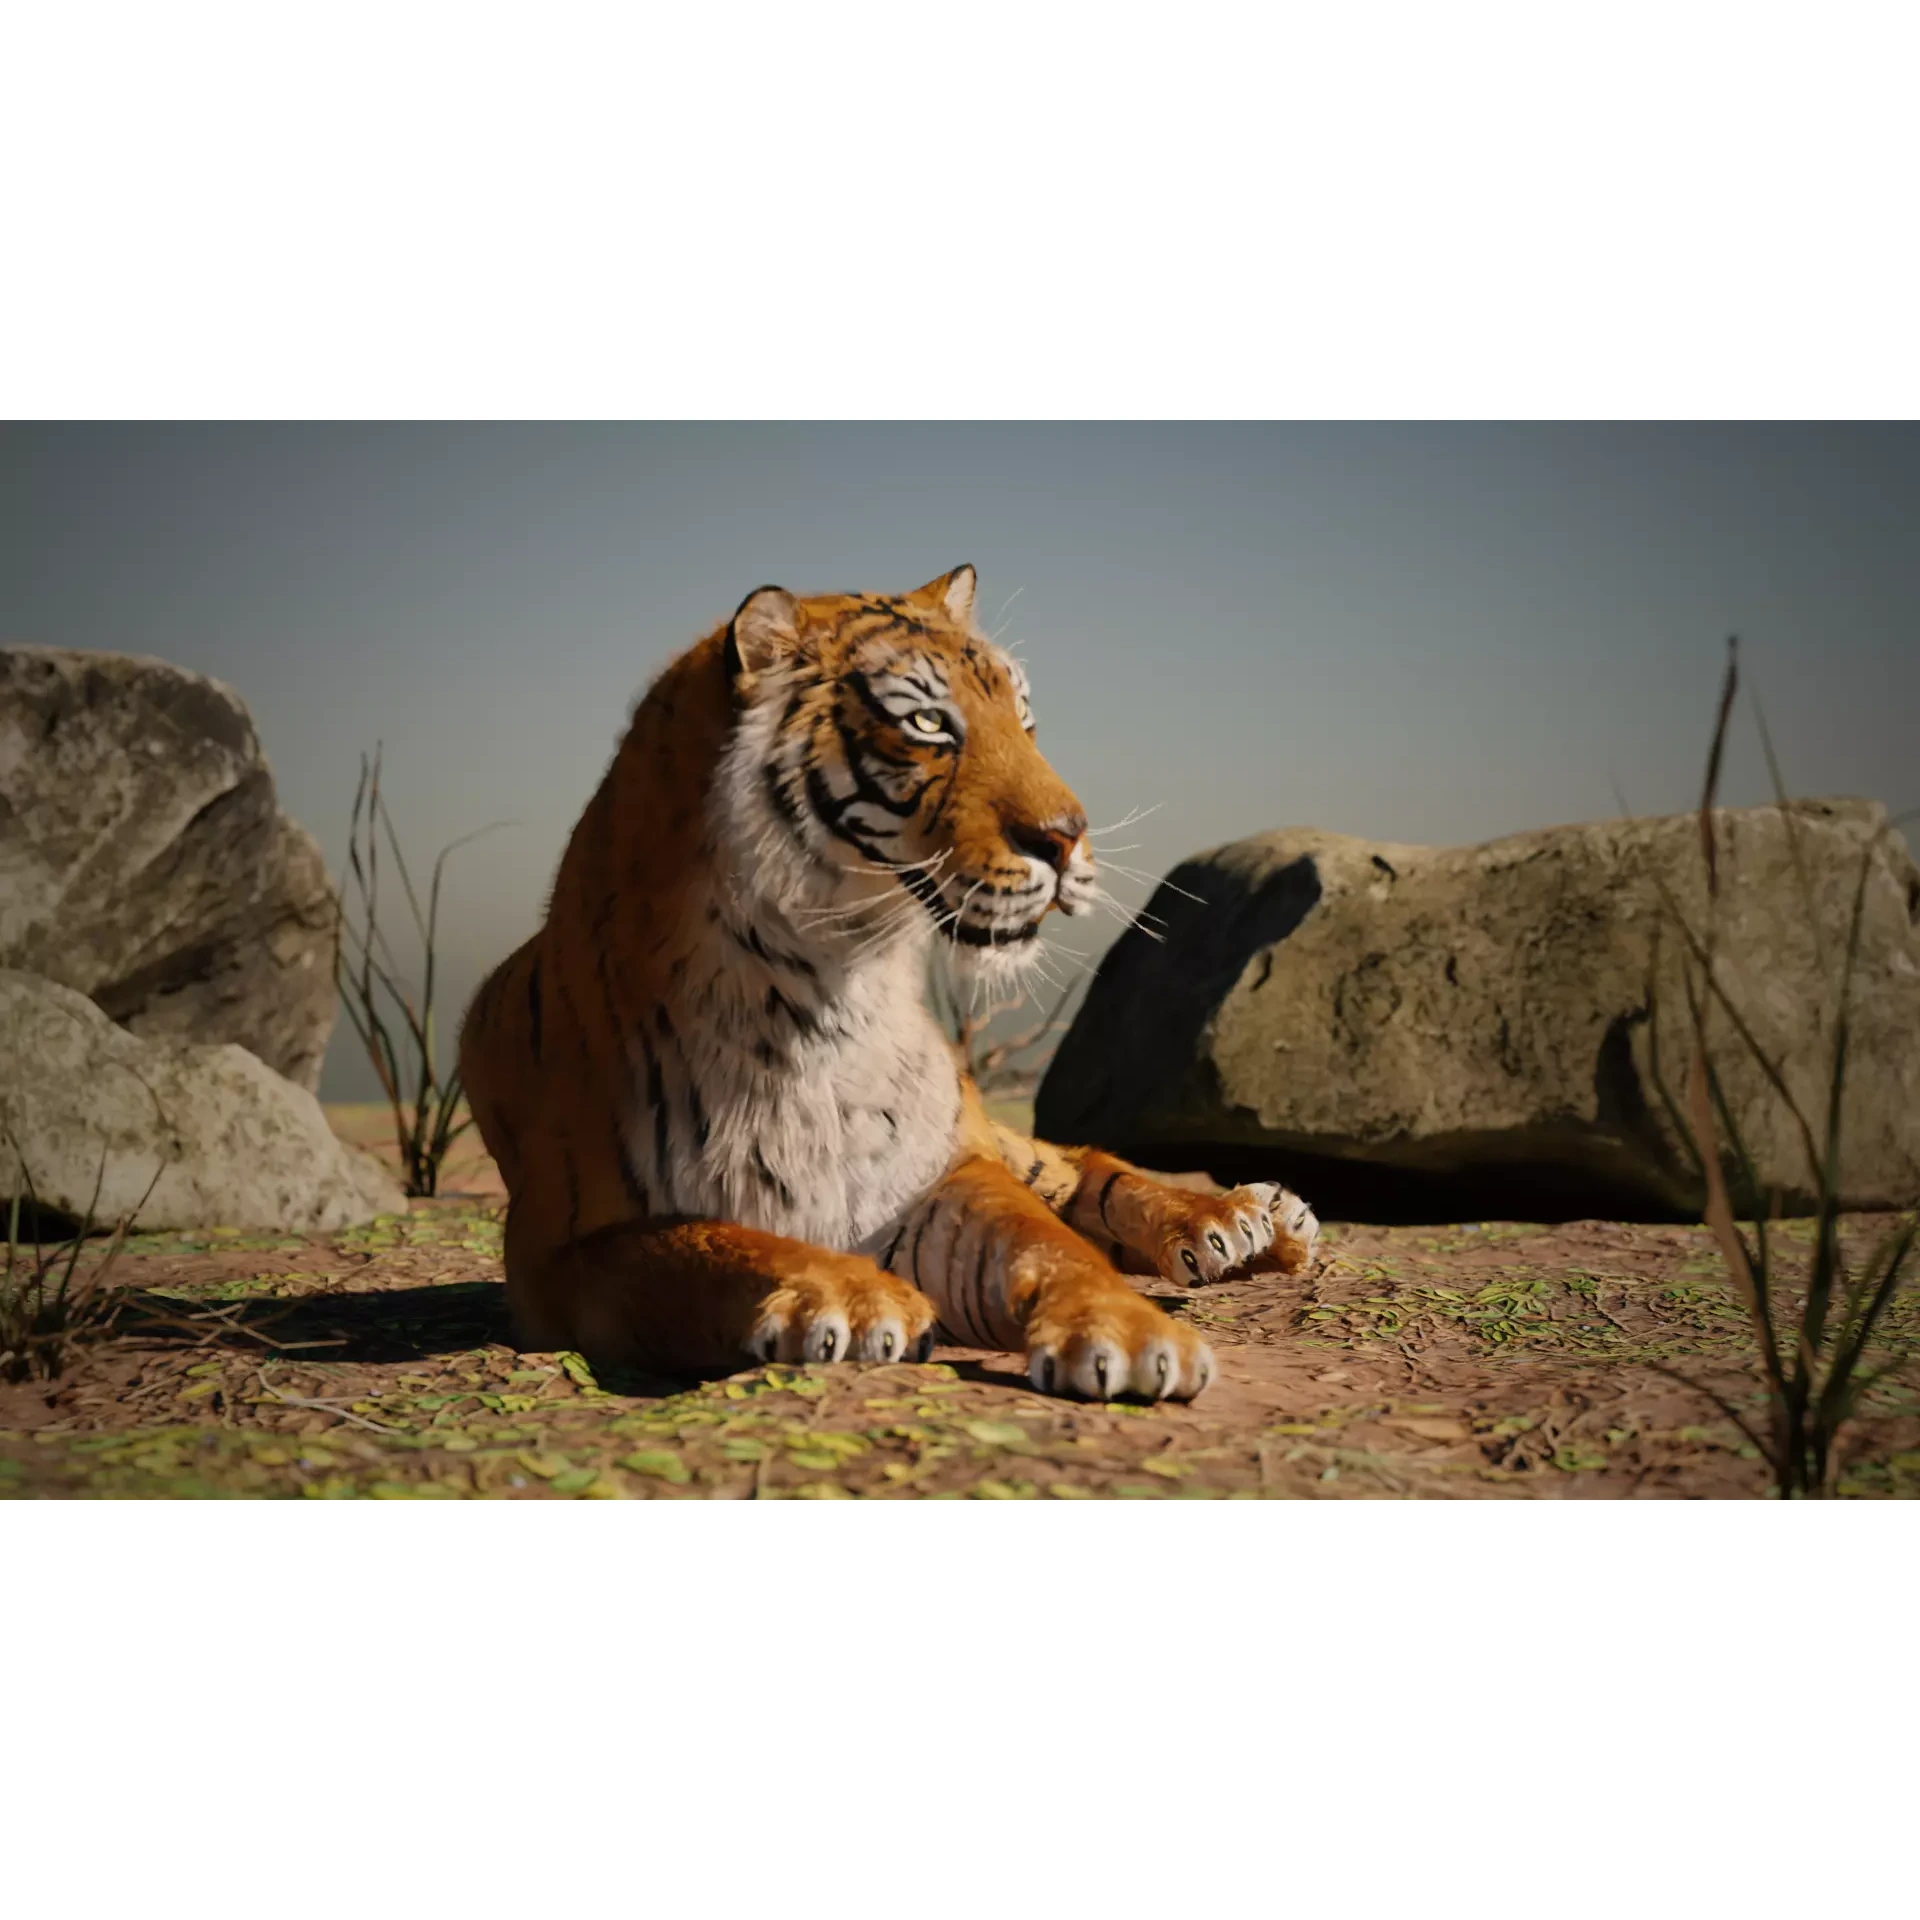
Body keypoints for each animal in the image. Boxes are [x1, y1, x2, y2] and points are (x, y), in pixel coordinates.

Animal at [457, 566, 1320, 1401]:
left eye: (1024, 718)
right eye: (930, 725)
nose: (1067, 838)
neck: (819, 993)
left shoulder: (937, 1171)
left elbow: (1052, 1245)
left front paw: (1130, 1335)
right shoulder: (559, 1249)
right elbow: (711, 1243)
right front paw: (850, 1296)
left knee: (1081, 1166)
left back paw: (1248, 1221)